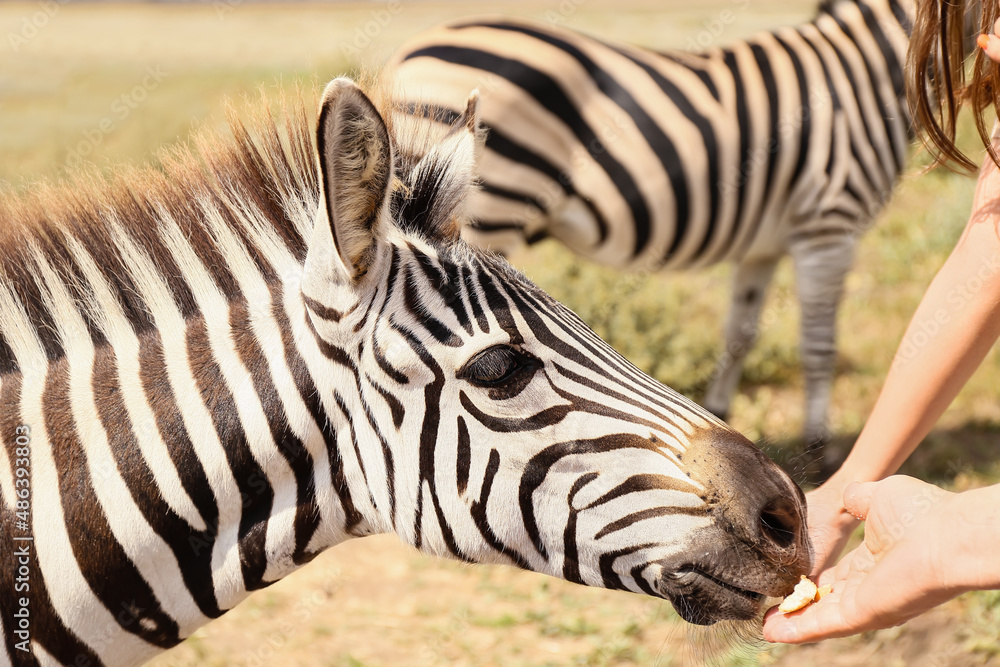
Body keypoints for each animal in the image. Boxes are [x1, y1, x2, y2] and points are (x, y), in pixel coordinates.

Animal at [386, 0, 916, 456]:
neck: (869, 71)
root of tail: (411, 52)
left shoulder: (763, 246)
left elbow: (740, 333)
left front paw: (720, 411)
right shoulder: (830, 224)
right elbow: (819, 343)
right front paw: (820, 446)